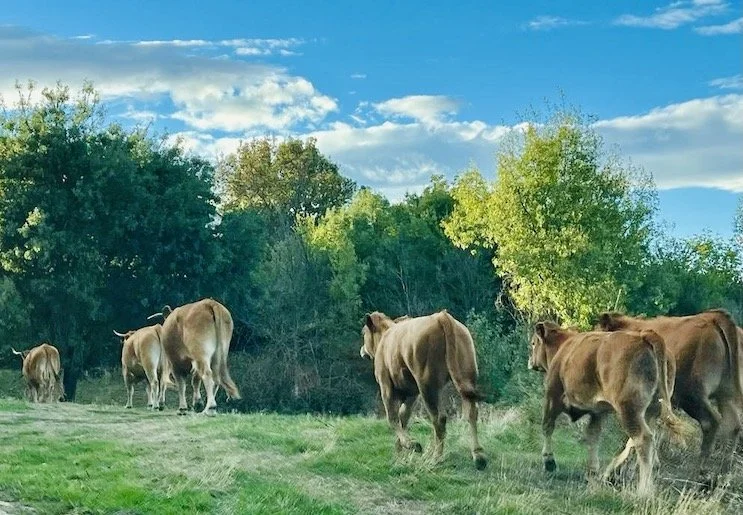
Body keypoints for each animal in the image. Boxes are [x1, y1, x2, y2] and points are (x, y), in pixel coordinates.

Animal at [361, 310, 487, 470]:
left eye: (363, 332)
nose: (362, 350)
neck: (385, 336)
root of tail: (441, 317)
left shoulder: (386, 386)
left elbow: (393, 418)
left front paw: (411, 445)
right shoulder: (412, 394)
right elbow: (403, 417)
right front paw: (400, 453)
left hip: (426, 384)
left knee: (438, 418)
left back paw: (436, 458)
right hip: (465, 376)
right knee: (471, 412)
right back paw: (478, 456)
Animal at [529, 322, 686, 494]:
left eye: (533, 343)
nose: (530, 361)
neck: (563, 348)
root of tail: (645, 336)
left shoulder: (552, 396)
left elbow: (547, 426)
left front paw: (549, 462)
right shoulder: (598, 412)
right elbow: (593, 436)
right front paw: (592, 471)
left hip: (628, 410)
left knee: (642, 439)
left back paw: (643, 490)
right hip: (651, 411)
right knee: (638, 440)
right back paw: (609, 473)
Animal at [598, 309, 743, 481]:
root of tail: (714, 316)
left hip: (693, 394)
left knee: (711, 422)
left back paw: (697, 474)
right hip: (726, 394)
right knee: (733, 426)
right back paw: (722, 475)